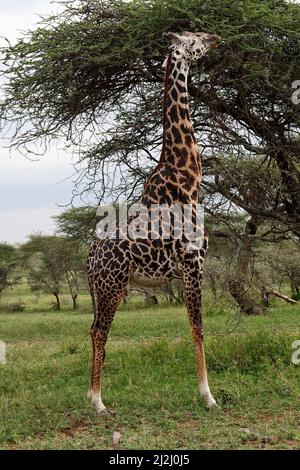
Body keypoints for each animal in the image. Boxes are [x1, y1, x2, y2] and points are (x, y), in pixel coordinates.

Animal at [86, 31, 220, 414]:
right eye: (194, 40)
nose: (215, 37)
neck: (188, 178)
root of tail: (89, 258)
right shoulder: (193, 262)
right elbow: (198, 326)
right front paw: (208, 396)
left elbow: (194, 325)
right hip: (113, 286)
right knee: (99, 330)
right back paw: (98, 402)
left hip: (102, 288)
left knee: (92, 329)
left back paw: (94, 396)